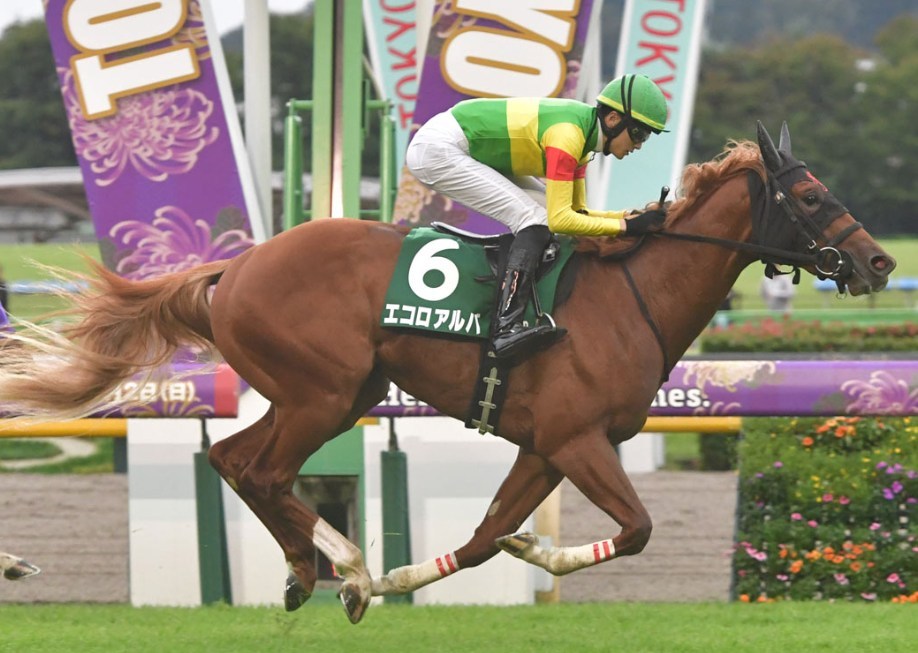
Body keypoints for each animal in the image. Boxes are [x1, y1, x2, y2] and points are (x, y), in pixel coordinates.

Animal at [0, 122, 895, 622]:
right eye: (810, 197)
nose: (880, 260)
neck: (629, 295)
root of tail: (238, 264)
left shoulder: (544, 446)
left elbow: (484, 537)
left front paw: (439, 567)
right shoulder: (578, 440)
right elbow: (637, 527)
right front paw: (401, 571)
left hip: (331, 392)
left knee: (233, 457)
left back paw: (312, 573)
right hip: (323, 392)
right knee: (263, 469)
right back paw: (341, 568)